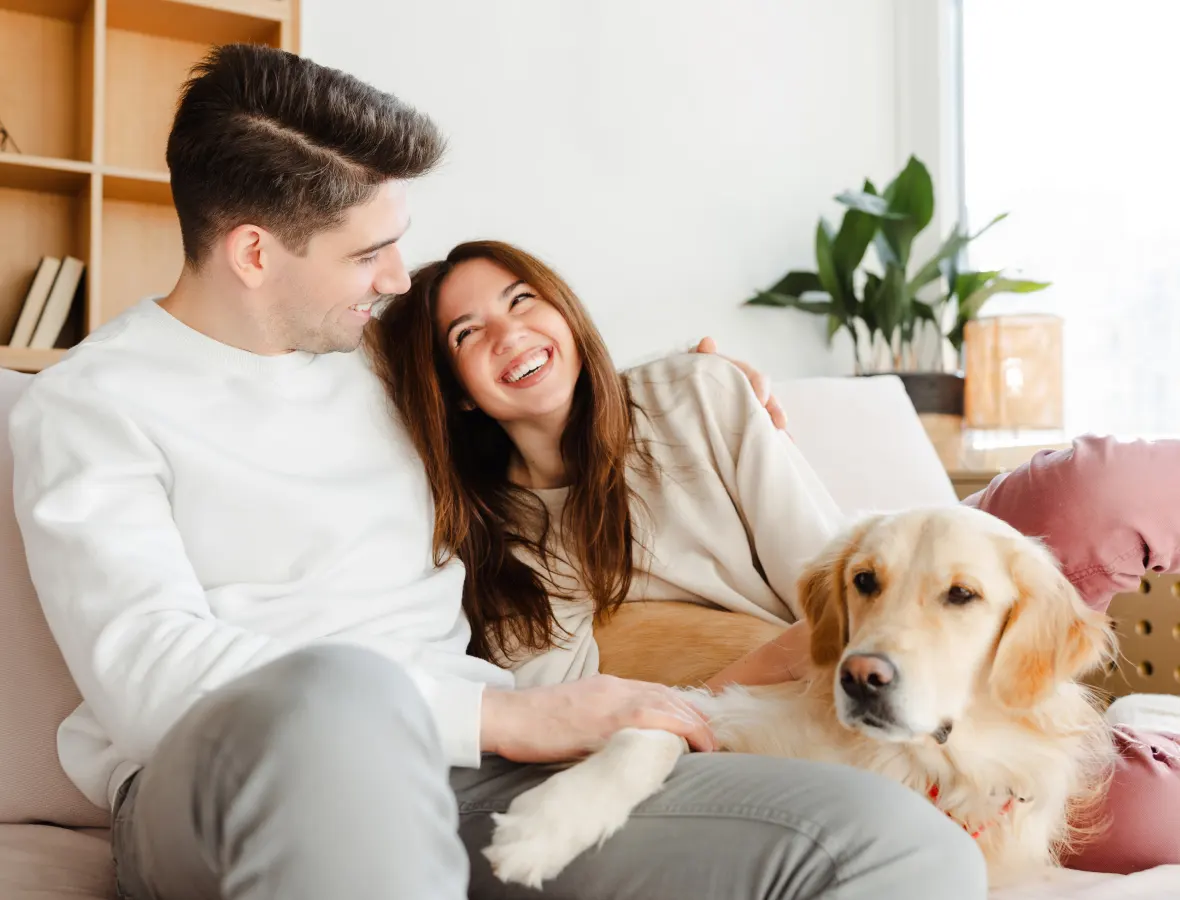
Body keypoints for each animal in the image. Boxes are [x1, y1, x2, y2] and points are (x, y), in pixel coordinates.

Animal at [483, 502, 1118, 891]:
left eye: (962, 595)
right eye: (864, 580)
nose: (860, 676)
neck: (908, 760)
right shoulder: (720, 709)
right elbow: (647, 732)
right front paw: (550, 823)